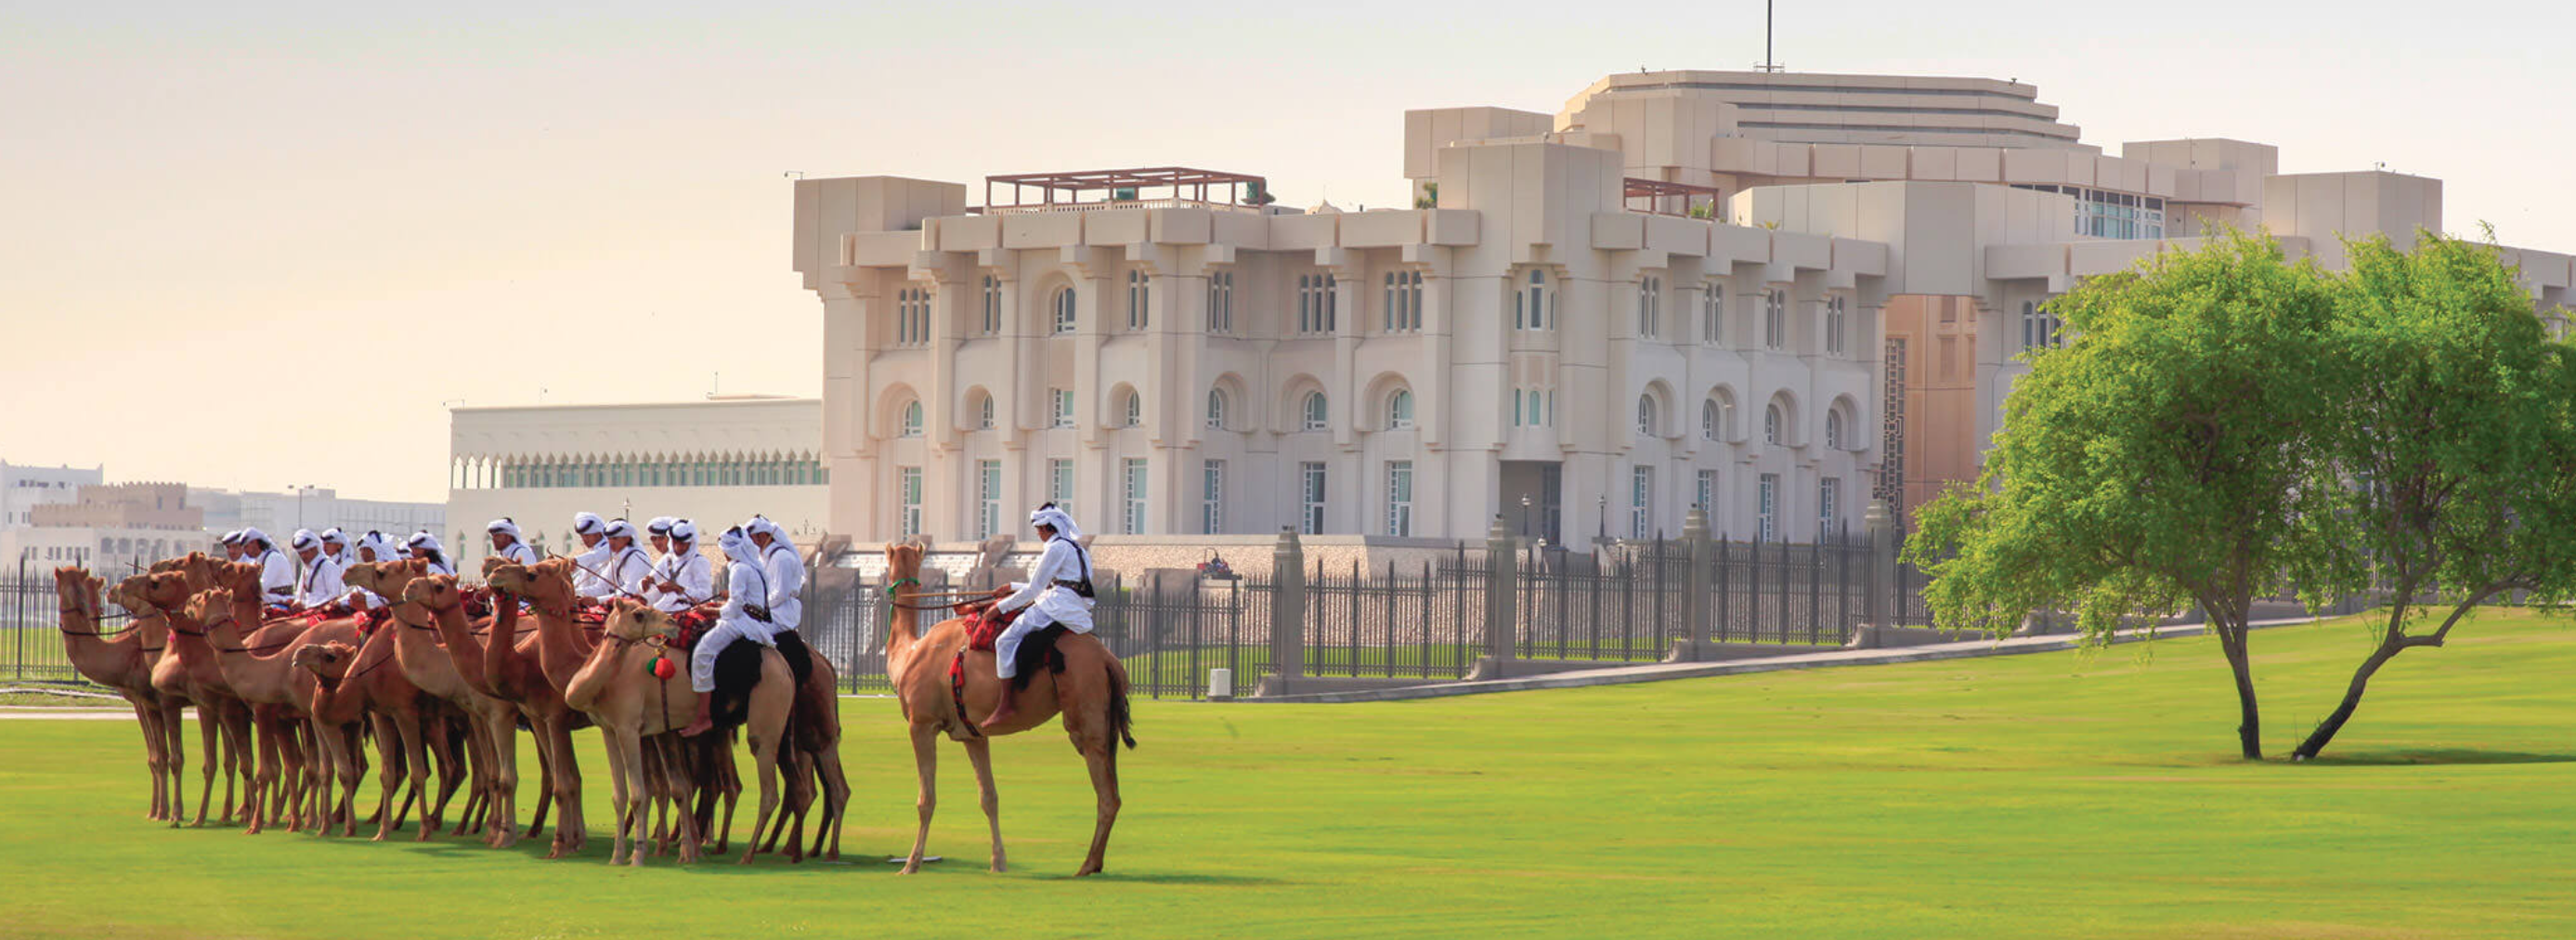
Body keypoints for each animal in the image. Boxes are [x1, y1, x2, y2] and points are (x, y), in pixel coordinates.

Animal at [55, 564, 178, 818]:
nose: (111, 594)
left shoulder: (156, 699)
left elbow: (161, 756)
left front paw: (161, 811)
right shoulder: (141, 701)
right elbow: (154, 757)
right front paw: (154, 810)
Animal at [569, 600, 787, 865]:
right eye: (639, 614)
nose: (670, 622)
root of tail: (785, 668)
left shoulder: (629, 727)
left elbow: (639, 795)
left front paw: (638, 855)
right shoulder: (609, 729)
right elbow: (619, 797)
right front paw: (617, 857)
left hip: (768, 709)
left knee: (768, 789)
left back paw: (747, 855)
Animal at [880, 538, 1133, 875]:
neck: (910, 652)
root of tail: (1109, 660)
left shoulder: (921, 723)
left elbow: (926, 799)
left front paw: (911, 864)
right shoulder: (972, 734)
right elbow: (989, 796)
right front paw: (998, 862)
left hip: (1085, 709)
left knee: (1105, 792)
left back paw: (1087, 865)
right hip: (1107, 719)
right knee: (1112, 789)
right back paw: (1093, 862)